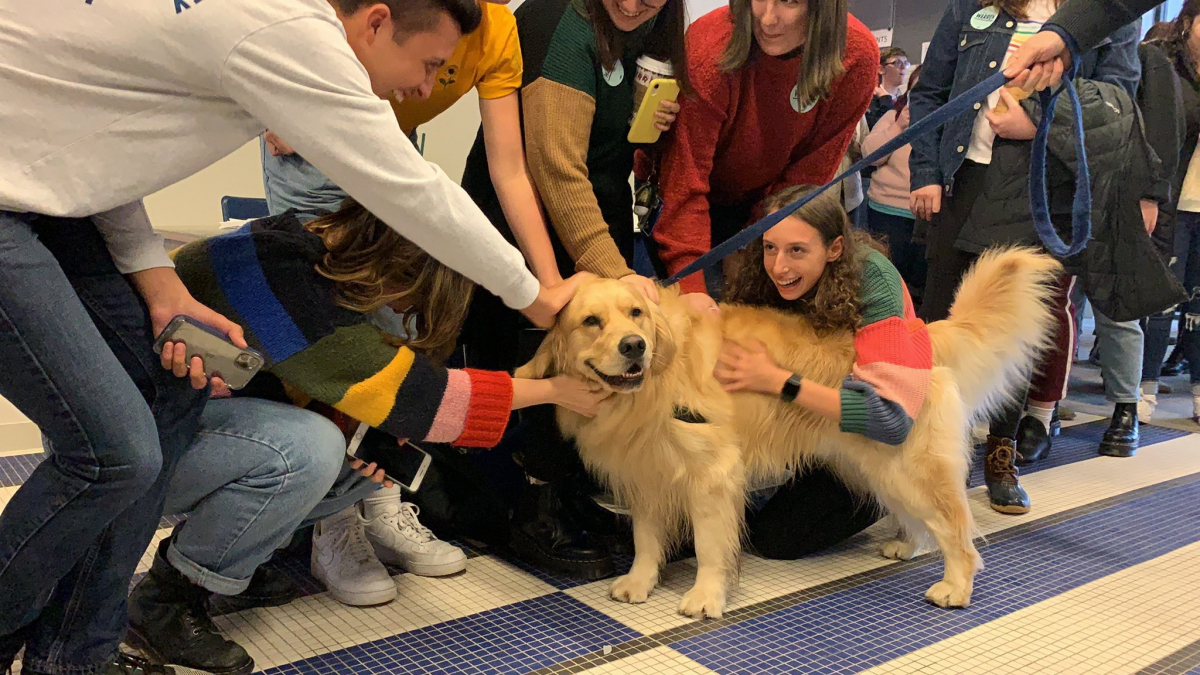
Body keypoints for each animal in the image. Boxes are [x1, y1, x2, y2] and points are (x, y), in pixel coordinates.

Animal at [516, 246, 1060, 614]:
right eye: (590, 321)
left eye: (635, 314)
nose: (634, 346)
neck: (653, 384)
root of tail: (917, 335)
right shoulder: (645, 474)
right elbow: (647, 539)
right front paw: (639, 583)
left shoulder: (712, 475)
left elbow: (711, 546)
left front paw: (705, 596)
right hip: (878, 469)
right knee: (919, 519)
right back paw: (906, 545)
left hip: (909, 468)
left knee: (956, 531)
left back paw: (956, 586)